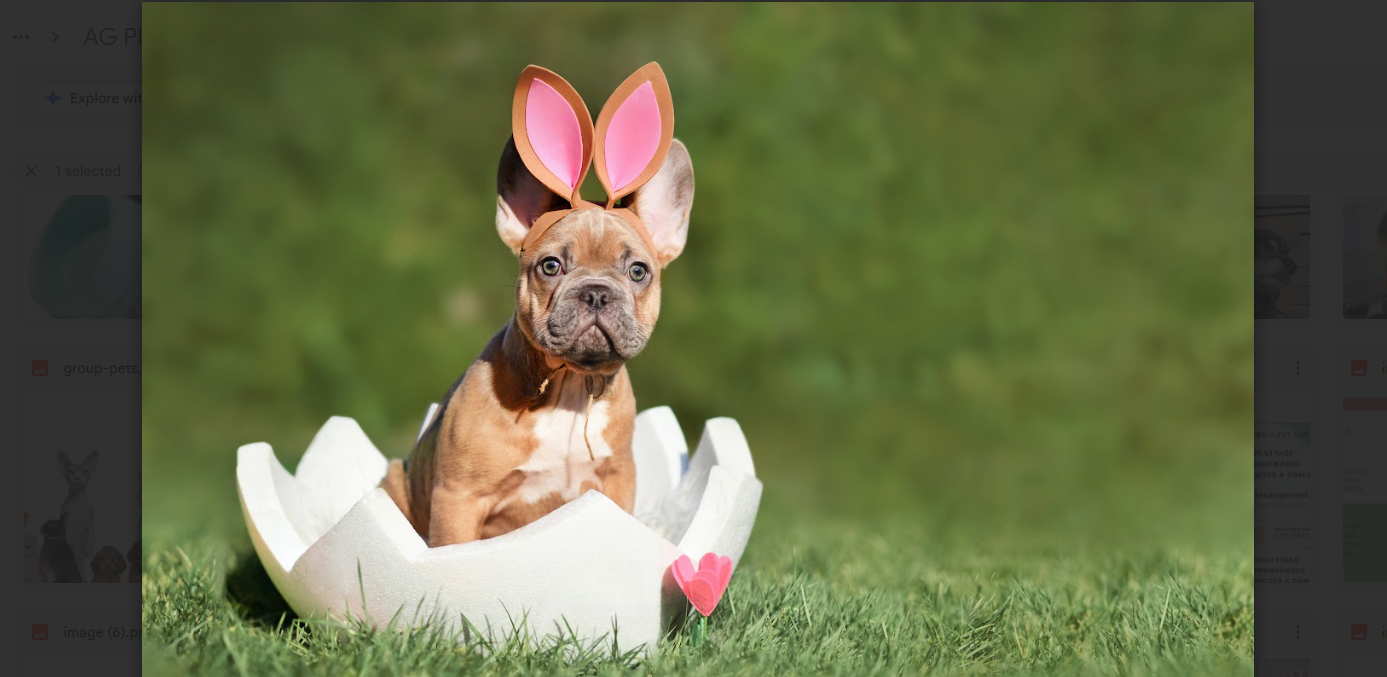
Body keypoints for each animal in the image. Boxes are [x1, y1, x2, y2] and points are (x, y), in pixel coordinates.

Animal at [58, 451, 97, 583]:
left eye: (85, 472)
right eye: (70, 472)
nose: (77, 478)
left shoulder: (90, 521)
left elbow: (91, 537)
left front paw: (89, 552)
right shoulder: (66, 525)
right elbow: (67, 539)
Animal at [383, 63, 695, 547]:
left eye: (638, 272)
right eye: (551, 266)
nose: (596, 292)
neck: (569, 385)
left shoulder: (617, 482)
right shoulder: (458, 499)